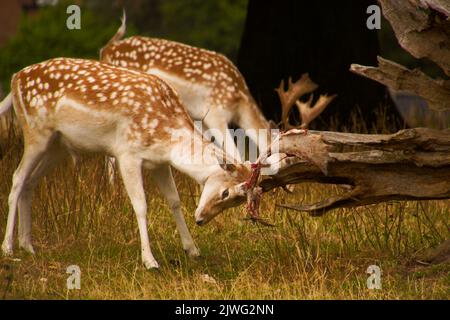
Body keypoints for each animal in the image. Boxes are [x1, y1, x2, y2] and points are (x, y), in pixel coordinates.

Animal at [0, 58, 250, 270]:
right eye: (226, 192)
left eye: (238, 201)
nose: (201, 220)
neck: (167, 136)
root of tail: (15, 78)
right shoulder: (127, 154)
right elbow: (141, 205)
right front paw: (150, 261)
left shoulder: (159, 163)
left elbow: (174, 200)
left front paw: (192, 250)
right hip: (35, 133)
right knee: (17, 177)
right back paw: (9, 247)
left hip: (57, 146)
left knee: (31, 182)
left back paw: (28, 245)